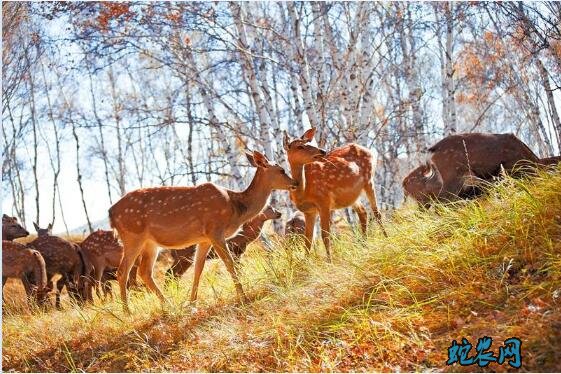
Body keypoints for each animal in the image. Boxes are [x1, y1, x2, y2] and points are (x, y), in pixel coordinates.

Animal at [107, 150, 296, 312]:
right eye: (281, 170)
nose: (295, 183)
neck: (235, 207)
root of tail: (111, 213)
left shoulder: (204, 238)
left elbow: (199, 268)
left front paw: (192, 303)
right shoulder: (215, 230)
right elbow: (229, 263)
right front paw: (243, 297)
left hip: (150, 243)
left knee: (144, 272)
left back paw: (169, 305)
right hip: (133, 235)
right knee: (123, 271)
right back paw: (127, 312)